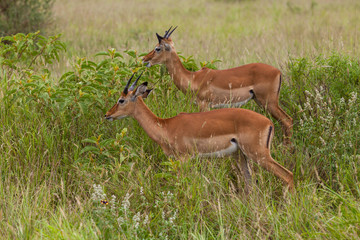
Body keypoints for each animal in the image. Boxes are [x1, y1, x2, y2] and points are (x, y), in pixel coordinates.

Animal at [105, 72, 296, 192]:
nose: (107, 115)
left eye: (121, 100)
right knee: (251, 184)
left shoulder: (184, 159)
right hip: (242, 156)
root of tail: (268, 123)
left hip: (259, 155)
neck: (166, 126)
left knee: (288, 175)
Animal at [142, 27, 294, 145]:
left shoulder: (204, 105)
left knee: (287, 120)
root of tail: (278, 71)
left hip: (269, 102)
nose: (144, 59)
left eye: (157, 48)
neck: (193, 78)